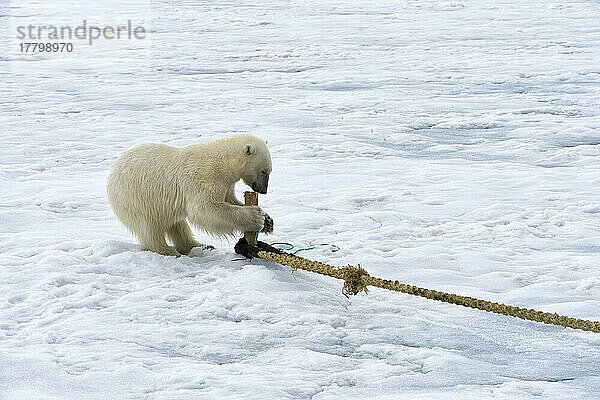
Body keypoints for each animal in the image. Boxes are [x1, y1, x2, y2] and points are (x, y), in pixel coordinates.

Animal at [108, 134, 274, 256]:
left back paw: (201, 245)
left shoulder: (227, 185)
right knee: (149, 226)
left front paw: (268, 222)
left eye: (269, 171)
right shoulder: (204, 179)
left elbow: (230, 200)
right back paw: (167, 250)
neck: (222, 164)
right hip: (136, 197)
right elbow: (205, 209)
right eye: (264, 171)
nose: (263, 190)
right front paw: (256, 216)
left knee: (176, 223)